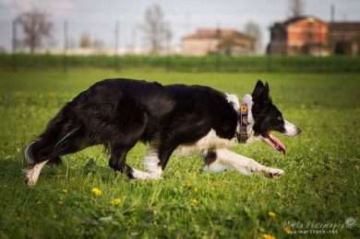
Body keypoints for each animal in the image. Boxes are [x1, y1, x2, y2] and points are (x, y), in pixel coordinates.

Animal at [23, 79, 300, 186]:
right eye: (279, 118)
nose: (299, 129)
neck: (239, 114)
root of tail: (87, 91)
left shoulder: (213, 150)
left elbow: (248, 161)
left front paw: (273, 172)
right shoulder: (170, 135)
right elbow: (158, 169)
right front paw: (150, 177)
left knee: (48, 148)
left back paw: (31, 180)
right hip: (119, 130)